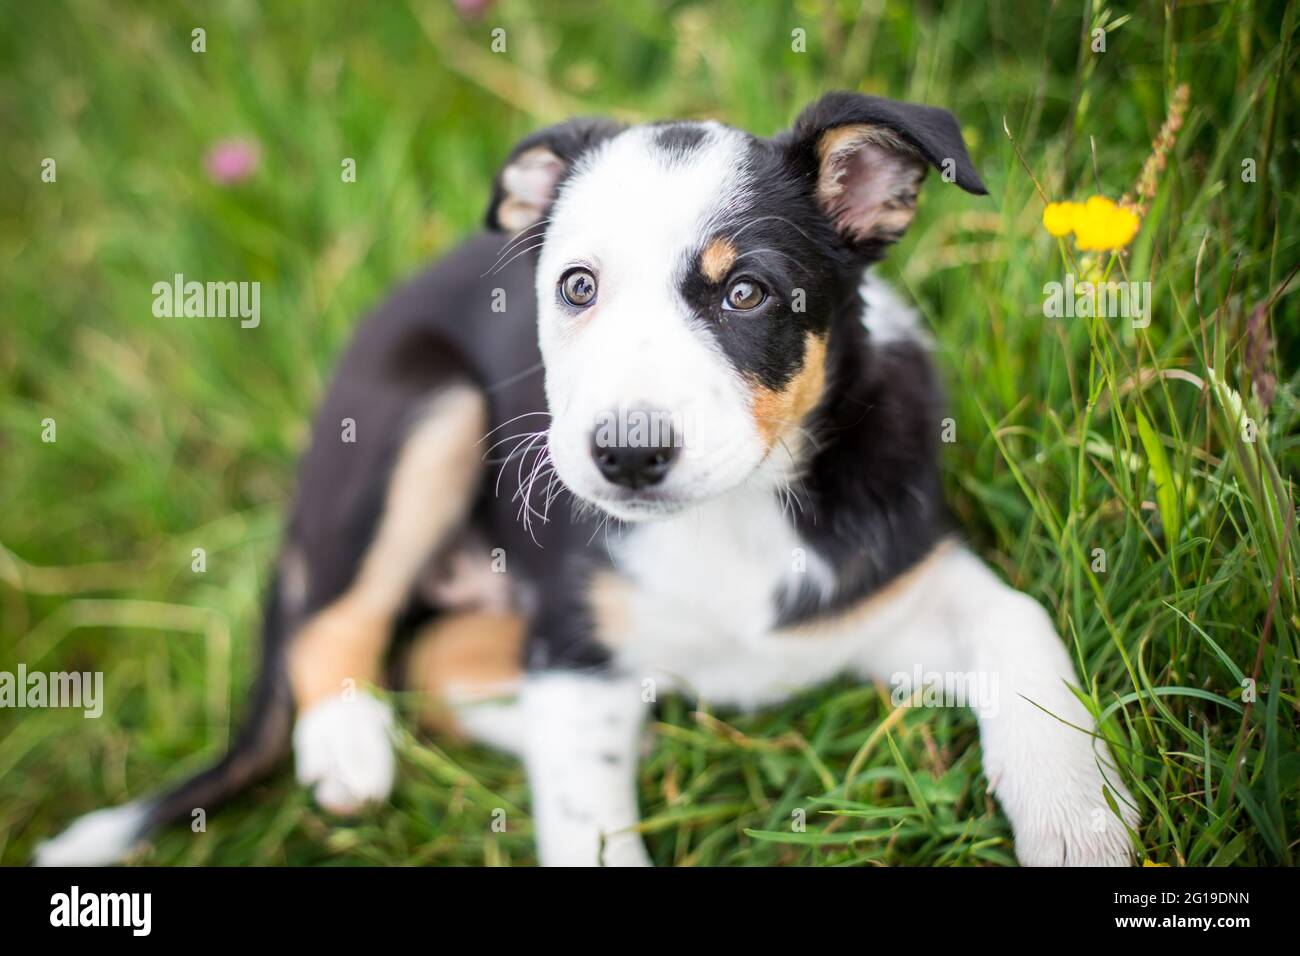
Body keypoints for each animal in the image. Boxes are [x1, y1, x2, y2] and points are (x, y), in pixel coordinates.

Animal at [38, 95, 1138, 868]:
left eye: (748, 293)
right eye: (577, 287)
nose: (626, 455)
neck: (730, 518)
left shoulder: (902, 579)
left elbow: (1025, 630)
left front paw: (1078, 819)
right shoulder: (572, 643)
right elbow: (582, 822)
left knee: (434, 660)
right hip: (423, 413)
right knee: (338, 621)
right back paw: (348, 743)